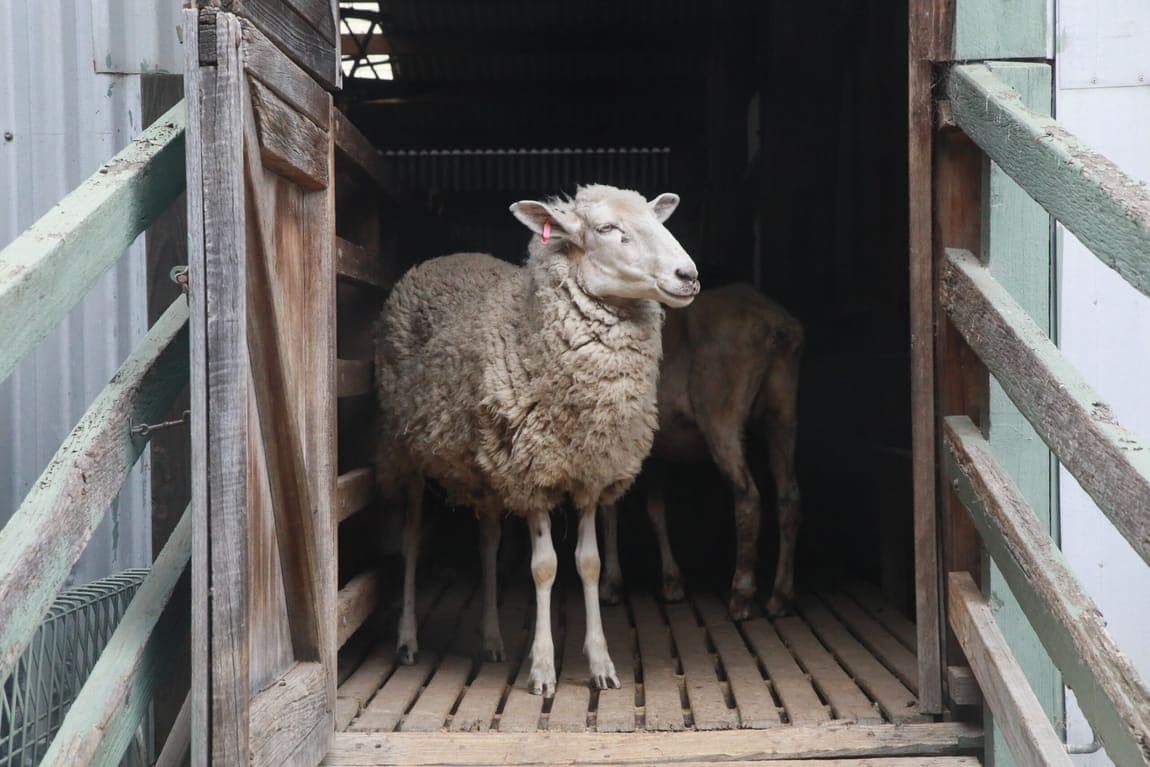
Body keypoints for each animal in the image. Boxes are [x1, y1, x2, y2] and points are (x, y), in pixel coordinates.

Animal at [373, 184, 699, 696]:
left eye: (656, 219)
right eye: (607, 228)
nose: (688, 275)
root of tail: (441, 258)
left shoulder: (588, 473)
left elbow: (589, 563)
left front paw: (601, 663)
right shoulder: (532, 475)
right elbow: (544, 567)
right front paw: (544, 669)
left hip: (485, 469)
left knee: (487, 544)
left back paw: (491, 639)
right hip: (405, 453)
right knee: (408, 541)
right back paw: (406, 640)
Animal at [597, 283, 803, 620]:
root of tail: (778, 328)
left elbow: (609, 509)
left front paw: (610, 585)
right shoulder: (656, 448)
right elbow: (655, 508)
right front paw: (671, 582)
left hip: (720, 410)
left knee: (748, 495)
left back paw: (741, 595)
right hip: (782, 412)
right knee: (789, 496)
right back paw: (780, 597)